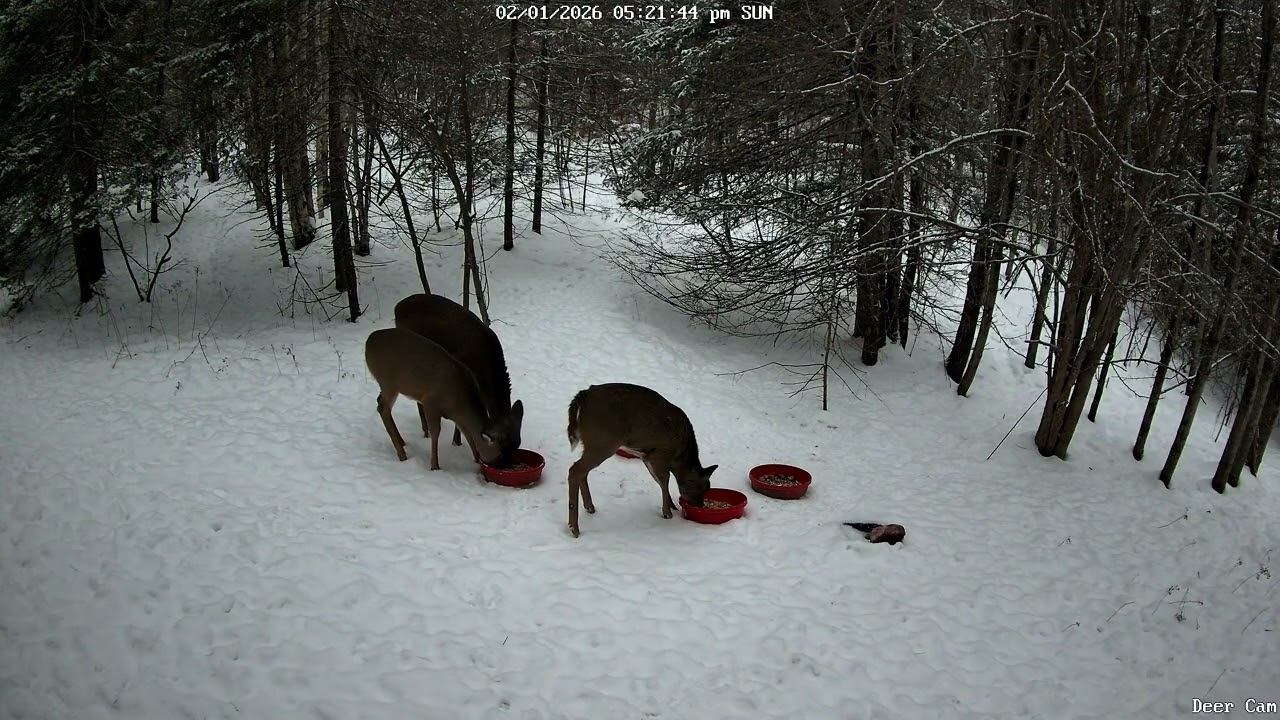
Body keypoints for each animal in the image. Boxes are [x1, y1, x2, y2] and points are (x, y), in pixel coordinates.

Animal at [363, 327, 506, 471]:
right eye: (500, 454)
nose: (501, 467)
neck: (460, 402)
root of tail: (368, 341)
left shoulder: (458, 416)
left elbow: (467, 433)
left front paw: (476, 460)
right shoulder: (430, 401)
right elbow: (436, 432)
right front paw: (435, 466)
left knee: (379, 402)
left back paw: (402, 442)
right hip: (388, 382)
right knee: (383, 408)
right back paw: (402, 455)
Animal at [394, 293, 524, 466]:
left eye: (517, 444)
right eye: (504, 445)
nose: (509, 465)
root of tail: (397, 307)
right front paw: (456, 441)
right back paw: (425, 430)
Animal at [565, 383, 717, 537]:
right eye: (703, 487)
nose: (699, 505)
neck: (679, 456)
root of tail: (582, 396)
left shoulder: (646, 456)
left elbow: (659, 480)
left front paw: (672, 506)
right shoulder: (659, 455)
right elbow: (664, 480)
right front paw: (667, 512)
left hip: (591, 442)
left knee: (582, 471)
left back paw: (589, 507)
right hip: (602, 441)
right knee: (575, 470)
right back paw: (574, 528)